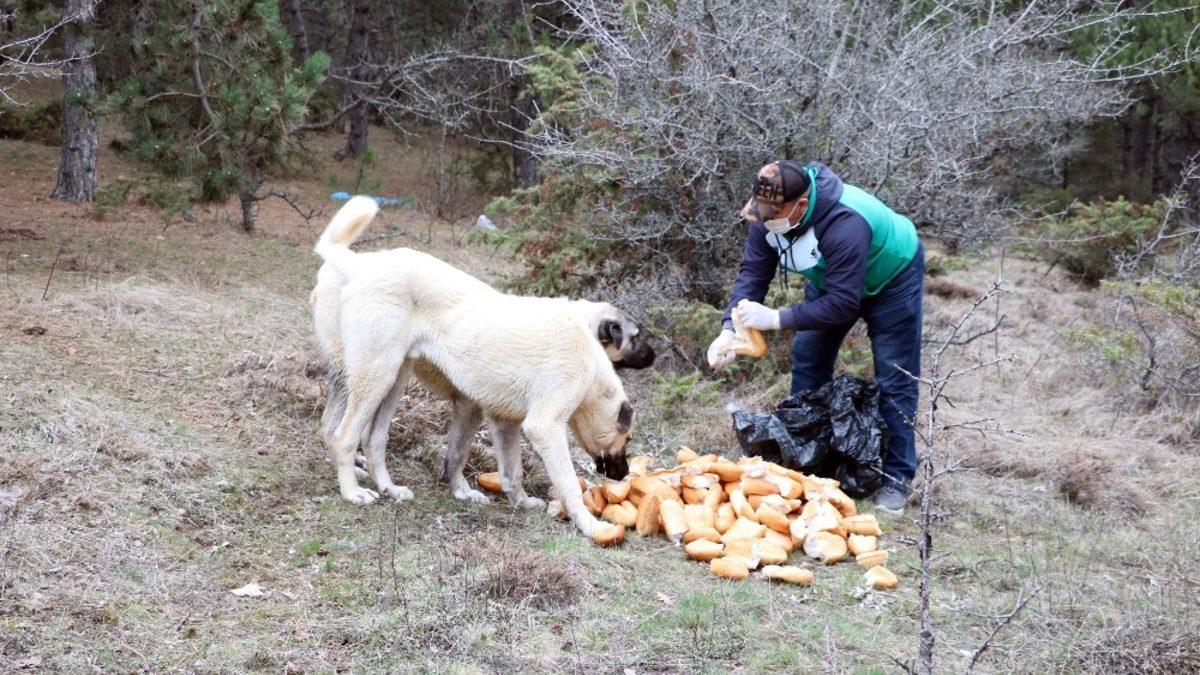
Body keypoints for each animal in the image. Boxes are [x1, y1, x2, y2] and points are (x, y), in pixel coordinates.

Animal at [310, 196, 650, 535]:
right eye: (628, 438)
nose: (623, 474)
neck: (591, 362)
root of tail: (361, 265)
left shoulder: (501, 420)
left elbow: (509, 469)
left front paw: (517, 500)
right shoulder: (544, 427)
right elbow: (567, 484)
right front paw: (590, 525)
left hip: (394, 381)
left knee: (373, 440)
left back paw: (389, 488)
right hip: (372, 379)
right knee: (343, 435)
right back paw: (352, 491)